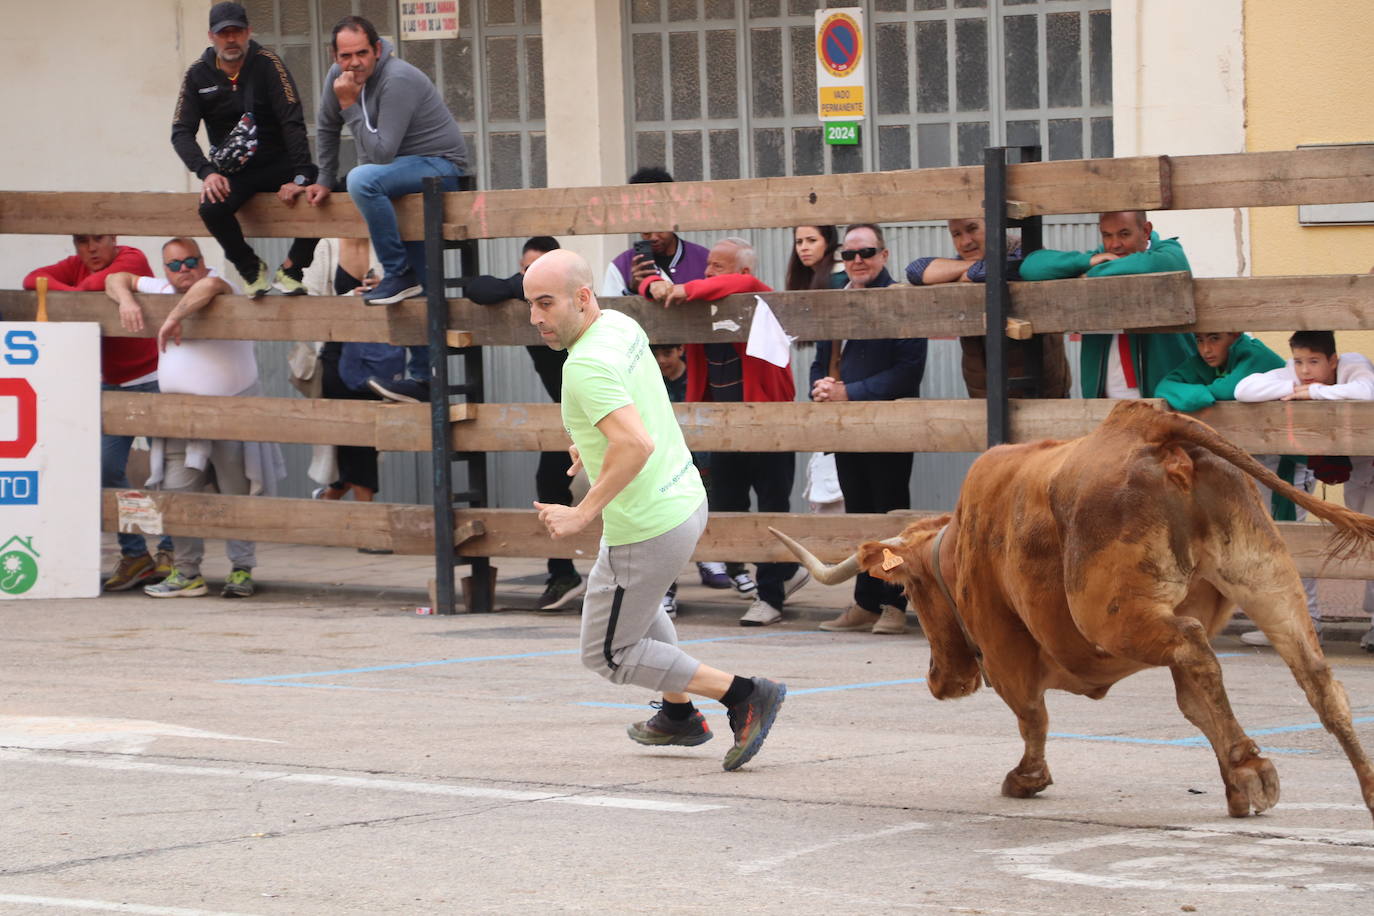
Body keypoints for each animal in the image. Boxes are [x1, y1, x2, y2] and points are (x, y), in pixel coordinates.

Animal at [774, 401, 1374, 823]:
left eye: (915, 594)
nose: (938, 680)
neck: (960, 539)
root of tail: (1146, 427)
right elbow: (1195, 708)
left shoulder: (1005, 648)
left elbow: (1030, 713)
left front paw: (1026, 778)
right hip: (1265, 576)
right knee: (1318, 682)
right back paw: (1359, 788)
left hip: (1114, 615)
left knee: (1195, 645)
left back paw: (1254, 768)